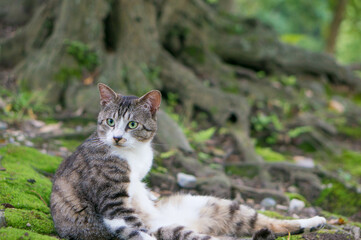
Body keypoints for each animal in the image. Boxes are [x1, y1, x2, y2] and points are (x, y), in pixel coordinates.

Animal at [51, 83, 326, 240]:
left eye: (132, 125)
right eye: (110, 122)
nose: (117, 137)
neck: (134, 153)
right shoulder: (114, 206)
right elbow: (137, 230)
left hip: (215, 204)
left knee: (269, 222)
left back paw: (314, 221)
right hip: (179, 224)